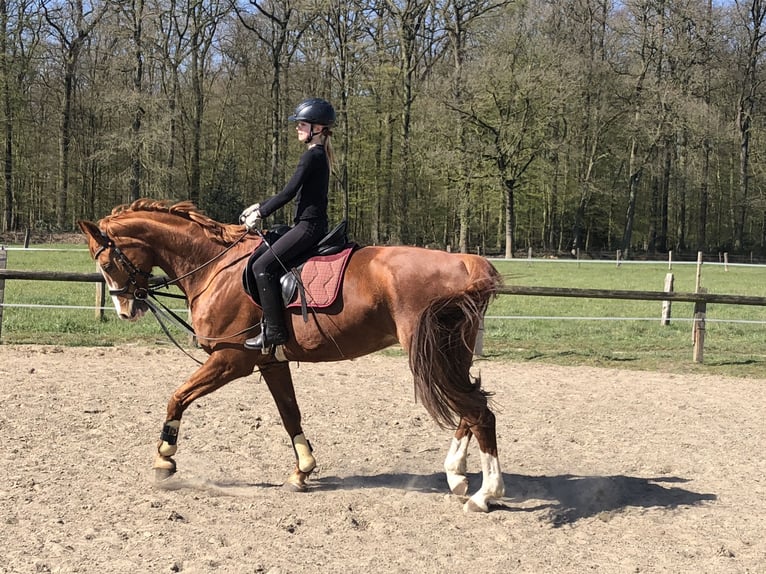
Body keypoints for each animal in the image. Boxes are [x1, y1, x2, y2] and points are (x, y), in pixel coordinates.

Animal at [78, 200, 508, 516]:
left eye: (107, 262)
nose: (125, 310)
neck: (216, 267)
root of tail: (466, 261)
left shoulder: (231, 361)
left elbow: (177, 397)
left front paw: (164, 461)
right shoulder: (271, 362)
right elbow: (290, 413)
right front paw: (302, 470)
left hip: (435, 356)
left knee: (478, 413)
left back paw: (484, 495)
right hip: (449, 355)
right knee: (472, 408)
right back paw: (457, 477)